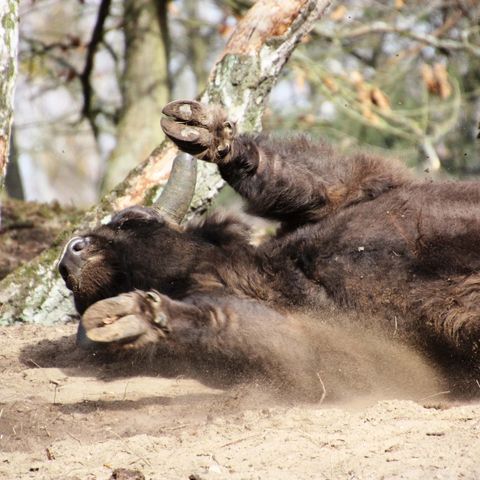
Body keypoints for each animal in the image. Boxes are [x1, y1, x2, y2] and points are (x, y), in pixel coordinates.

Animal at [59, 99, 480, 400]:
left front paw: (207, 134)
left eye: (132, 220)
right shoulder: (342, 348)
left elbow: (301, 181)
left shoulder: (352, 191)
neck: (271, 268)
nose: (70, 255)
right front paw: (142, 317)